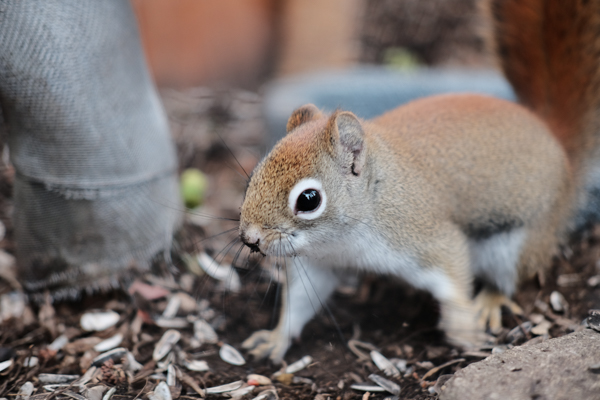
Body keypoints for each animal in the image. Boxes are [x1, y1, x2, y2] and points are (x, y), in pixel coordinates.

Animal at [239, 0, 600, 362]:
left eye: (309, 200)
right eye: (252, 178)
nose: (250, 239)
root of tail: (553, 140)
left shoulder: (424, 236)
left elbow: (453, 280)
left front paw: (464, 332)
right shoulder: (320, 262)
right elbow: (300, 301)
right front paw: (275, 338)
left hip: (518, 244)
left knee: (509, 278)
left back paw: (489, 301)